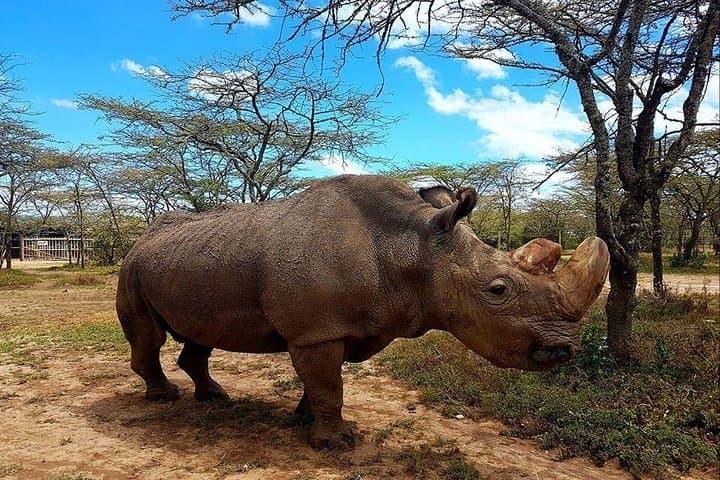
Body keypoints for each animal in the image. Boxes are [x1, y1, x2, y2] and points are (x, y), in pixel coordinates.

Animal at [116, 174, 609, 451]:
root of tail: (142, 238)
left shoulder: (335, 328)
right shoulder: (316, 330)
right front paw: (335, 445)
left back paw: (213, 397)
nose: (565, 350)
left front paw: (305, 421)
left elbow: (320, 384)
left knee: (198, 336)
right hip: (133, 266)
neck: (411, 245)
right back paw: (164, 398)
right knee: (149, 336)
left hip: (186, 263)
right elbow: (327, 385)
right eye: (498, 290)